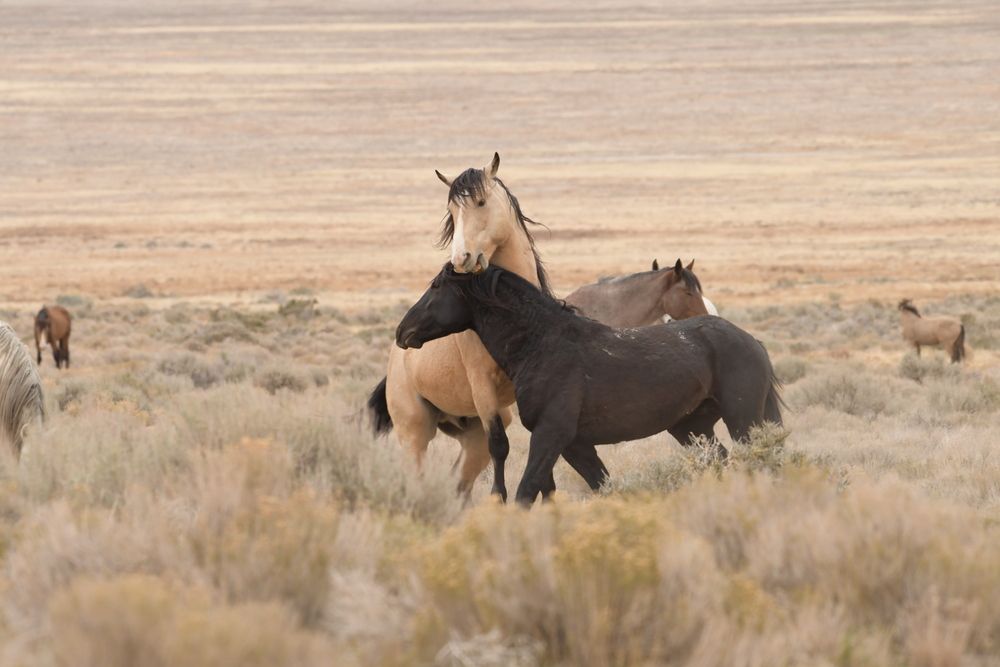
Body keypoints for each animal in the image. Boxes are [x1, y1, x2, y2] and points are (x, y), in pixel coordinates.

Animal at [368, 153, 558, 499]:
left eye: (481, 202)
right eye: (452, 212)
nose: (461, 259)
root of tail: (396, 358)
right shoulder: (483, 390)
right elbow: (501, 447)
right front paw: (499, 499)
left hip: (471, 434)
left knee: (459, 483)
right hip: (415, 431)